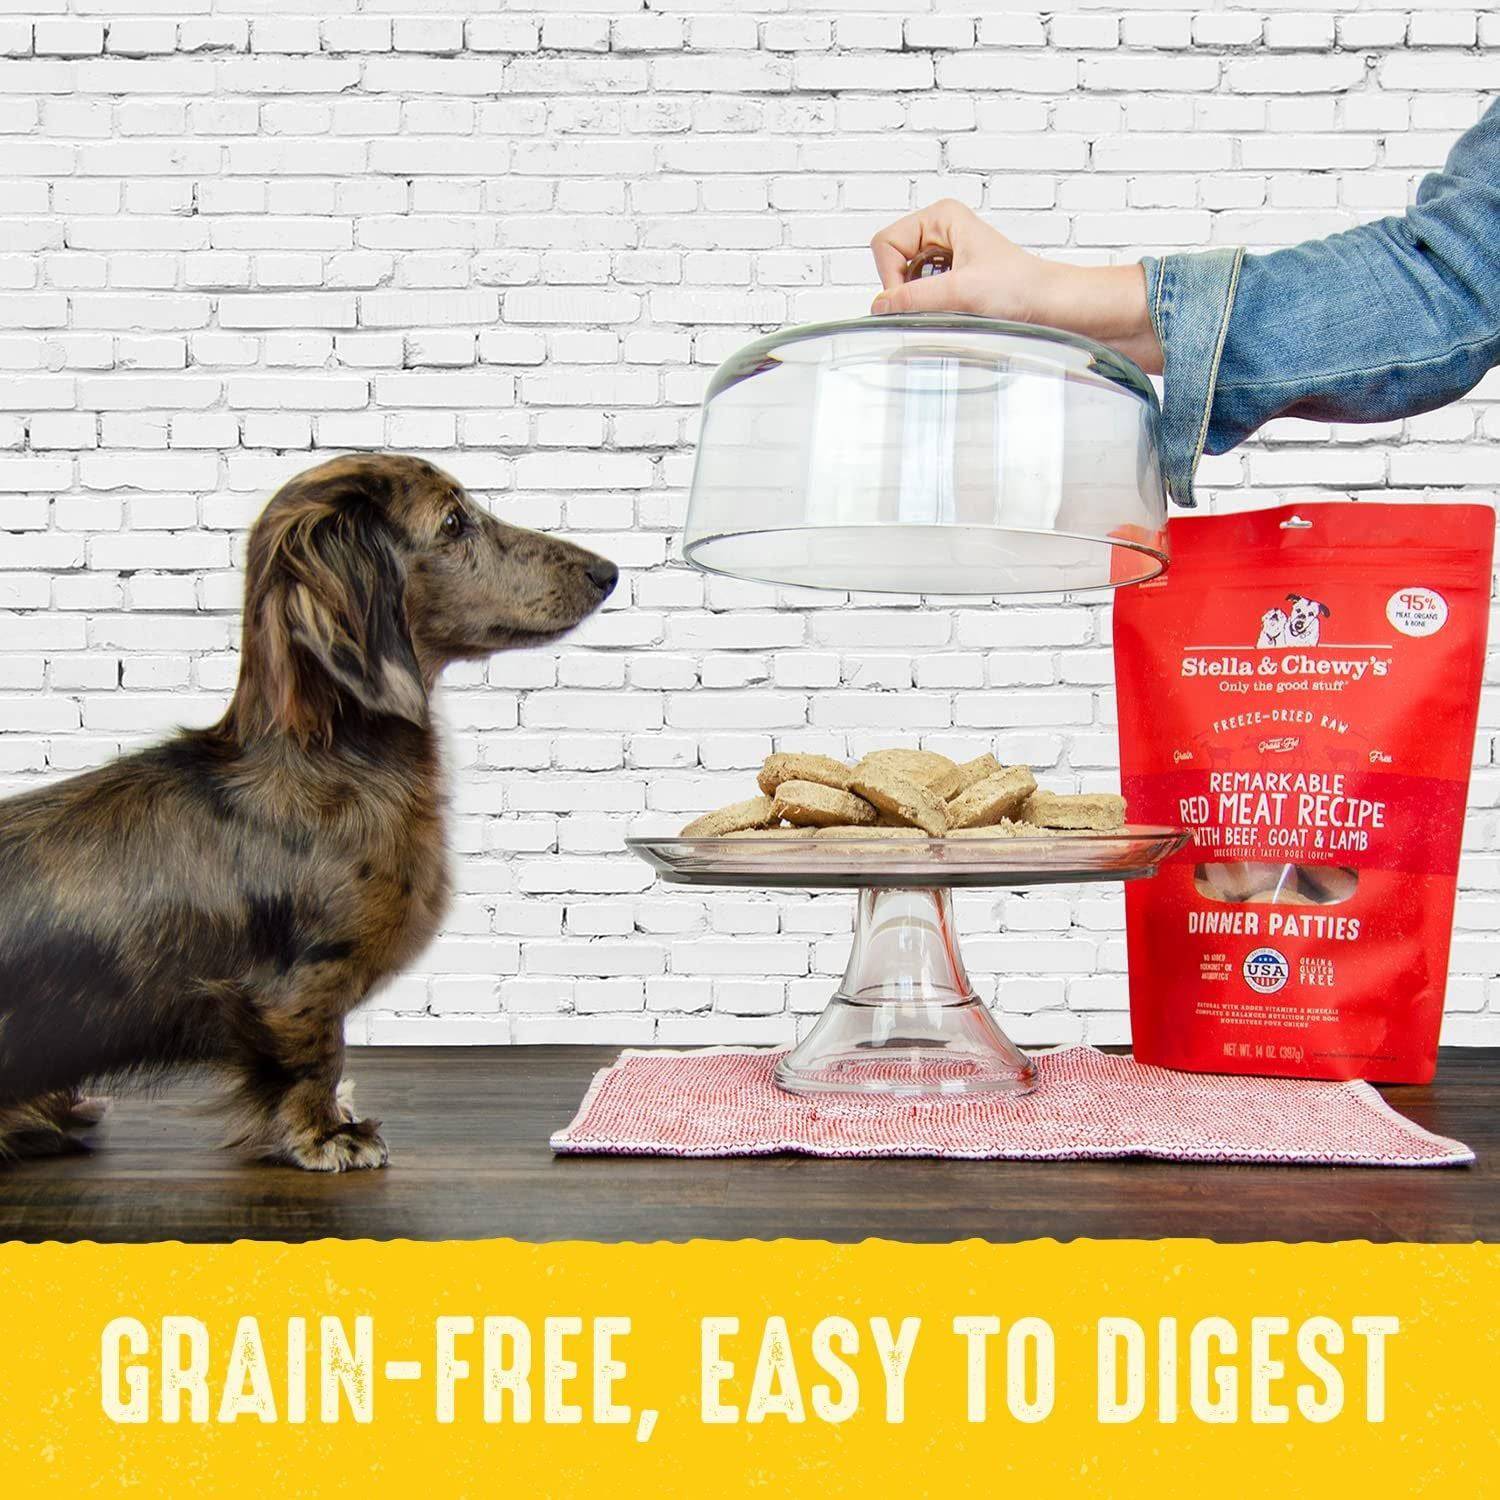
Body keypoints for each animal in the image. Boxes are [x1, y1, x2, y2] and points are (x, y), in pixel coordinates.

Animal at [0, 456, 621, 1170]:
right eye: (452, 521)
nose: (609, 572)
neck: (331, 765)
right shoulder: (298, 987)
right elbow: (316, 1056)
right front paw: (330, 1134)